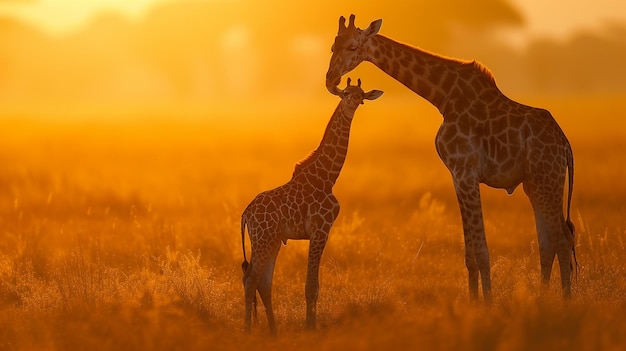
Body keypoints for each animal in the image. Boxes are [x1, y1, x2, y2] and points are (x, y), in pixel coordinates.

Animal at [241, 78, 382, 334]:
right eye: (346, 93)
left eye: (361, 95)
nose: (355, 102)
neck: (328, 176)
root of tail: (246, 214)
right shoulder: (320, 230)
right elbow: (311, 286)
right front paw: (310, 329)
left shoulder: (319, 232)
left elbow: (314, 284)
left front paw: (311, 325)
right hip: (263, 239)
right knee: (250, 279)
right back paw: (248, 330)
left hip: (272, 240)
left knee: (263, 282)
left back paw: (274, 332)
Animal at [326, 14, 576, 302]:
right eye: (332, 47)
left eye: (353, 47)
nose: (330, 79)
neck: (443, 97)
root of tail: (565, 145)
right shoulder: (457, 176)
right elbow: (469, 253)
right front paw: (474, 302)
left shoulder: (465, 172)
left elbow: (481, 251)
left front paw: (488, 304)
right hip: (534, 184)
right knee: (550, 241)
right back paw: (545, 298)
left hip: (547, 179)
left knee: (560, 239)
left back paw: (562, 301)